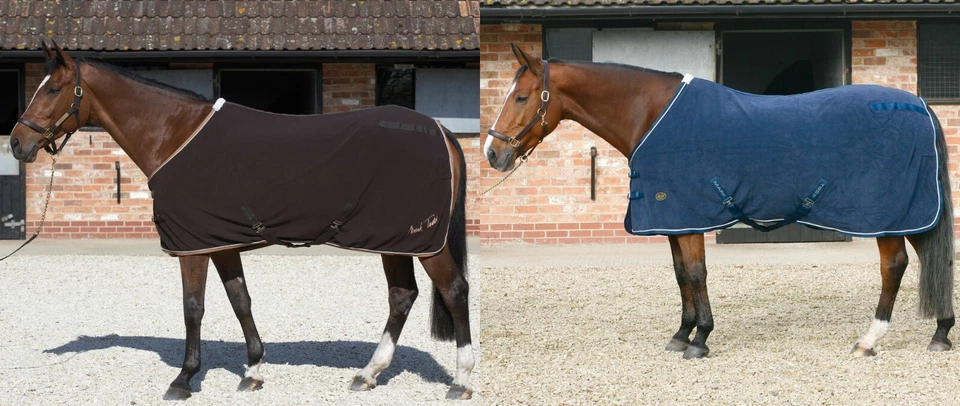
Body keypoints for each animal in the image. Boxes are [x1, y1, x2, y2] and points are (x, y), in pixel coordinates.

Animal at [8, 41, 474, 400]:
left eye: (53, 88)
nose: (17, 142)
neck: (176, 134)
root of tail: (440, 130)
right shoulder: (220, 242)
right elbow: (240, 301)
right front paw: (252, 371)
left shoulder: (192, 246)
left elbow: (192, 308)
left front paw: (184, 379)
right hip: (394, 241)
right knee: (402, 296)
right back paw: (368, 373)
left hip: (421, 242)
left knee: (453, 290)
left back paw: (461, 380)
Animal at [486, 44, 955, 360]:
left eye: (522, 97)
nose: (493, 154)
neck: (651, 115)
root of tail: (920, 104)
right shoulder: (674, 219)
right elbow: (681, 276)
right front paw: (681, 335)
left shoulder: (688, 215)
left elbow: (696, 273)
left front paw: (701, 340)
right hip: (913, 214)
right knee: (932, 258)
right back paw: (941, 333)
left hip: (887, 215)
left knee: (894, 266)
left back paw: (869, 340)